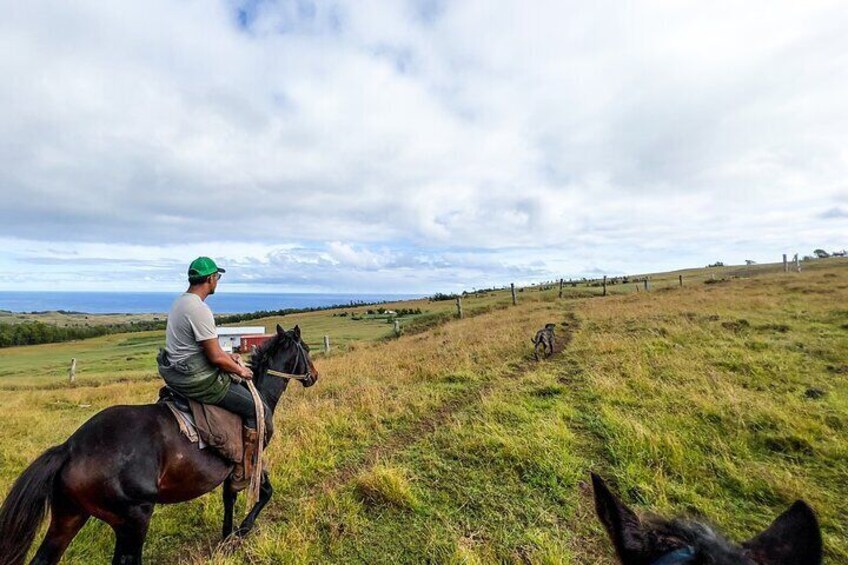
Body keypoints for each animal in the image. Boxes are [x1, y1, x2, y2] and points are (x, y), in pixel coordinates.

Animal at [0, 324, 316, 560]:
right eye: (307, 349)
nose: (314, 375)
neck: (258, 393)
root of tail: (70, 448)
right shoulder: (251, 457)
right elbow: (265, 492)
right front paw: (242, 530)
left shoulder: (233, 468)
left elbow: (230, 498)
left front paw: (227, 536)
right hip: (133, 519)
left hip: (69, 516)